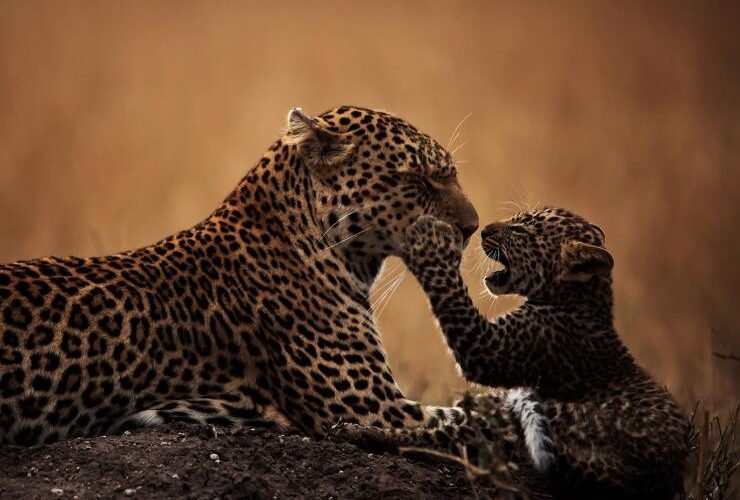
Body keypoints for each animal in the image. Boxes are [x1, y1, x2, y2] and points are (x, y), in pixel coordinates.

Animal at [396, 209, 691, 499]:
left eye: (520, 231)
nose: (485, 230)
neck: (580, 301)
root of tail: (662, 482)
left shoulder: (490, 347)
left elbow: (453, 294)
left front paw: (432, 241)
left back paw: (392, 437)